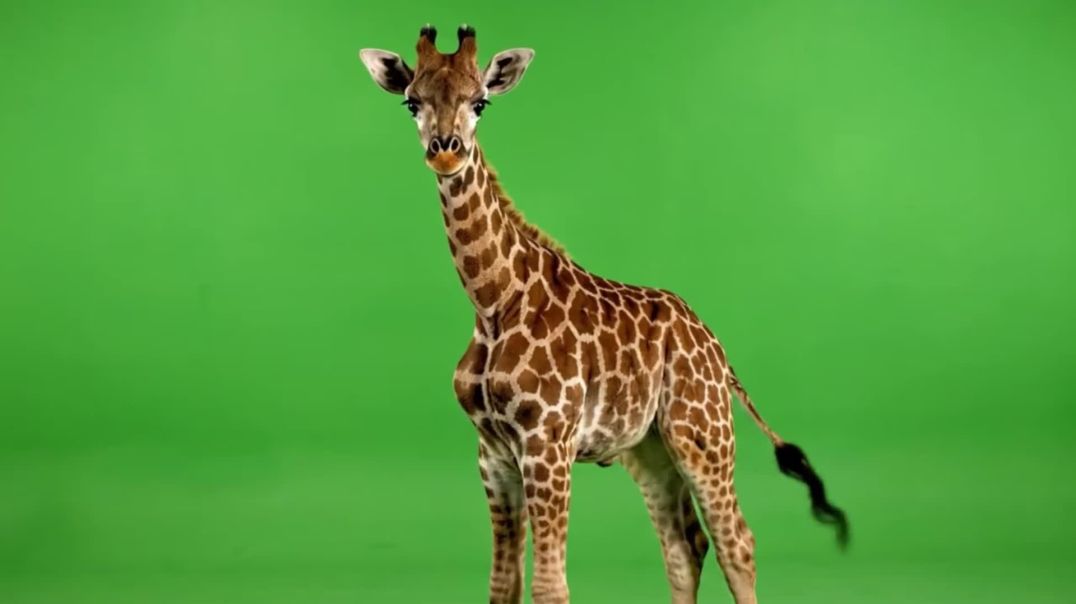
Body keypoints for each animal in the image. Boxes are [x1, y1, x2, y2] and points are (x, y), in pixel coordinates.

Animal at [359, 25, 848, 604]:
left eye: (480, 102)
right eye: (412, 101)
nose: (445, 153)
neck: (493, 302)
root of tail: (717, 349)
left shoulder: (547, 442)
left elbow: (550, 585)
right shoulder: (493, 453)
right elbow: (503, 584)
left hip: (701, 432)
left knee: (737, 541)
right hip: (650, 448)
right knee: (685, 546)